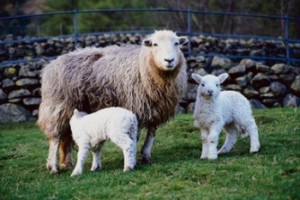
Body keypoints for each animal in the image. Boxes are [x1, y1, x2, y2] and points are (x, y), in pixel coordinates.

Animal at [37, 30, 188, 173]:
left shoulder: (154, 108)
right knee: (55, 137)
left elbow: (151, 134)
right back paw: (53, 167)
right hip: (57, 106)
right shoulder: (135, 107)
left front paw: (146, 156)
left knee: (66, 136)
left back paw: (66, 163)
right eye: (155, 44)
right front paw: (133, 160)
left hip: (72, 108)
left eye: (176, 43)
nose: (169, 60)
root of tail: (51, 65)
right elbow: (135, 137)